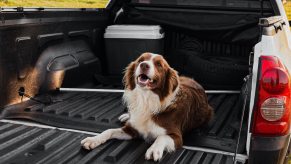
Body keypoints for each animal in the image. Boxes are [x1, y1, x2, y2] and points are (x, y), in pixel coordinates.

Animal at [81, 52, 213, 161]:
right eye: (140, 60)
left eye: (159, 64)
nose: (144, 65)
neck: (146, 99)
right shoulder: (132, 130)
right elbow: (109, 131)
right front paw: (93, 140)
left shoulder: (176, 136)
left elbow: (161, 137)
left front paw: (153, 149)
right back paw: (126, 116)